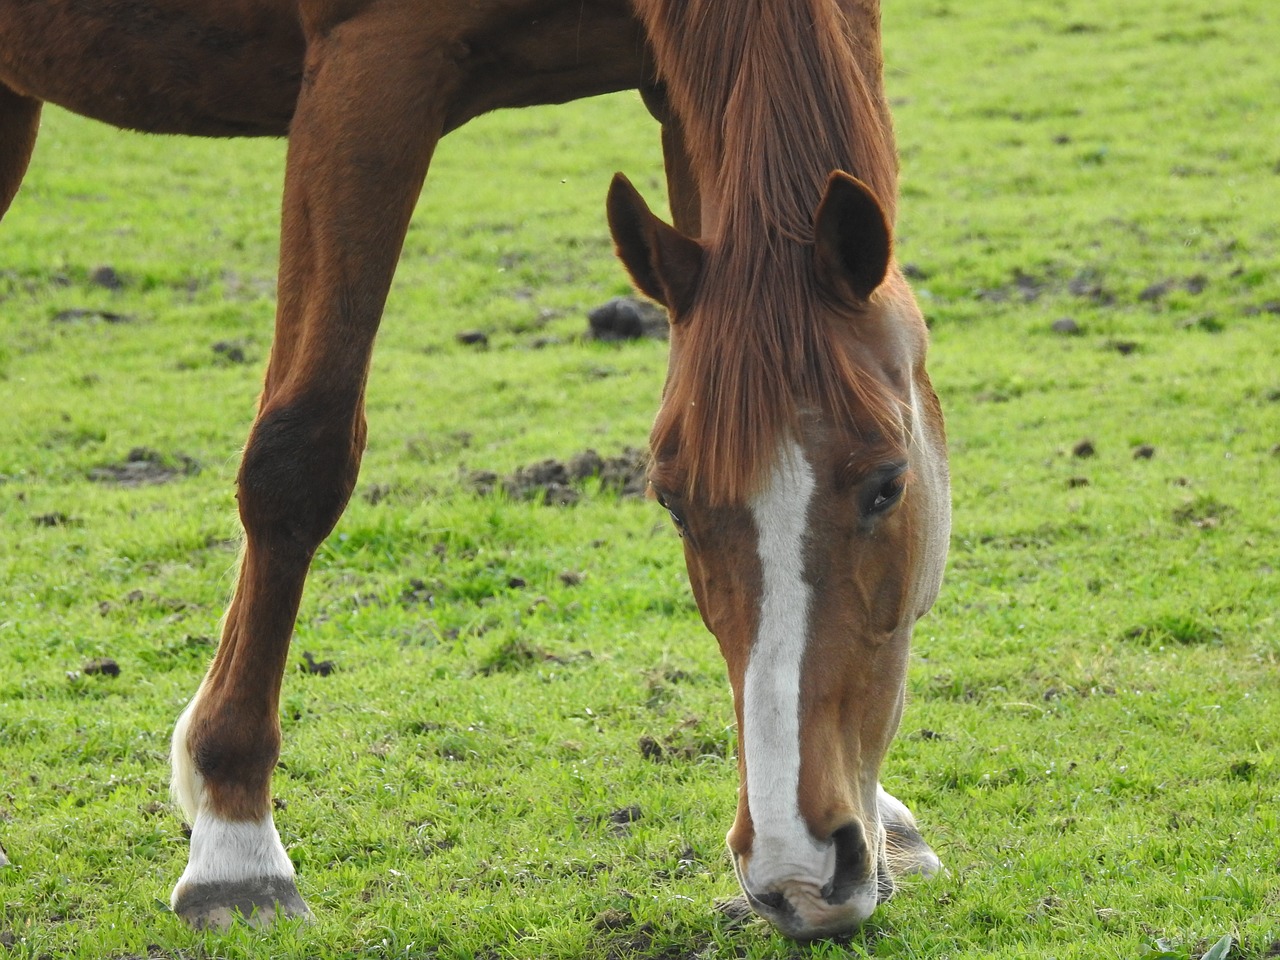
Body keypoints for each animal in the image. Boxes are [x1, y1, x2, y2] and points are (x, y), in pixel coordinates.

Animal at [2, 0, 952, 942]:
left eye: (888, 484)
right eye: (674, 505)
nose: (802, 871)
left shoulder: (676, 92)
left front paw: (884, 824)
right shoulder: (367, 70)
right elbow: (298, 457)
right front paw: (235, 842)